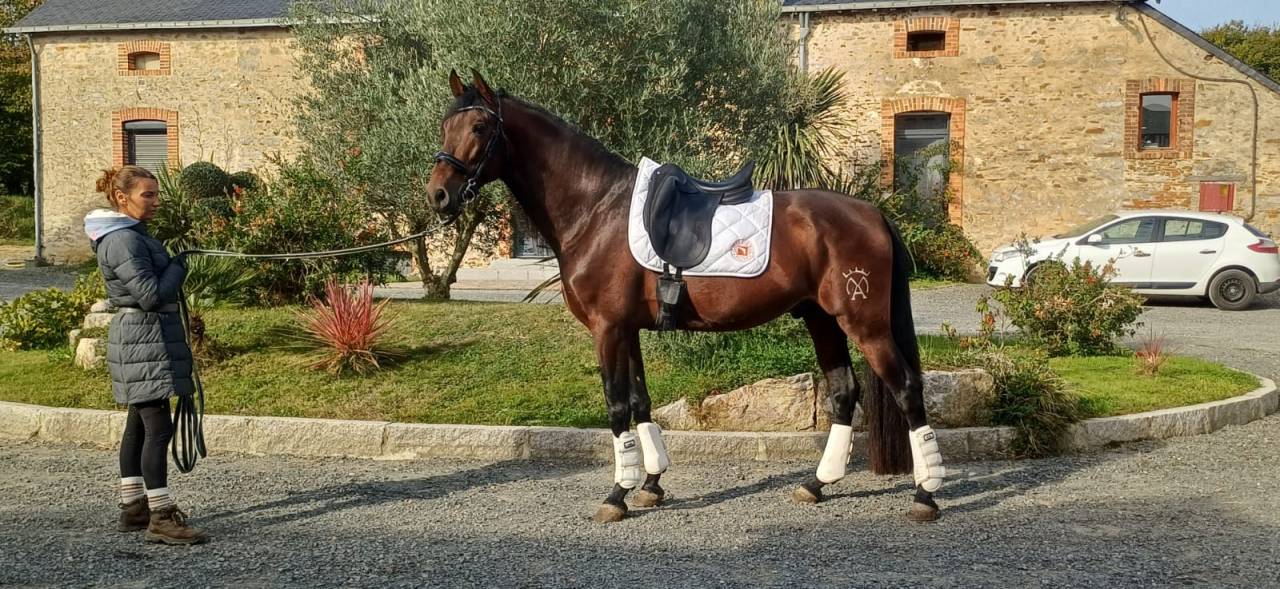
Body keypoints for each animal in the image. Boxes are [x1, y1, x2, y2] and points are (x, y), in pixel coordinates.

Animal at [426, 71, 945, 523]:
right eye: (445, 125)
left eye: (478, 127)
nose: (438, 196)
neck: (596, 210)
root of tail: (874, 214)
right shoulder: (627, 329)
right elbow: (640, 402)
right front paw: (650, 485)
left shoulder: (607, 329)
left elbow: (616, 407)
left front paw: (617, 495)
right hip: (822, 320)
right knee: (843, 393)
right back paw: (817, 484)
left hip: (865, 324)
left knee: (906, 389)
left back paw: (926, 495)